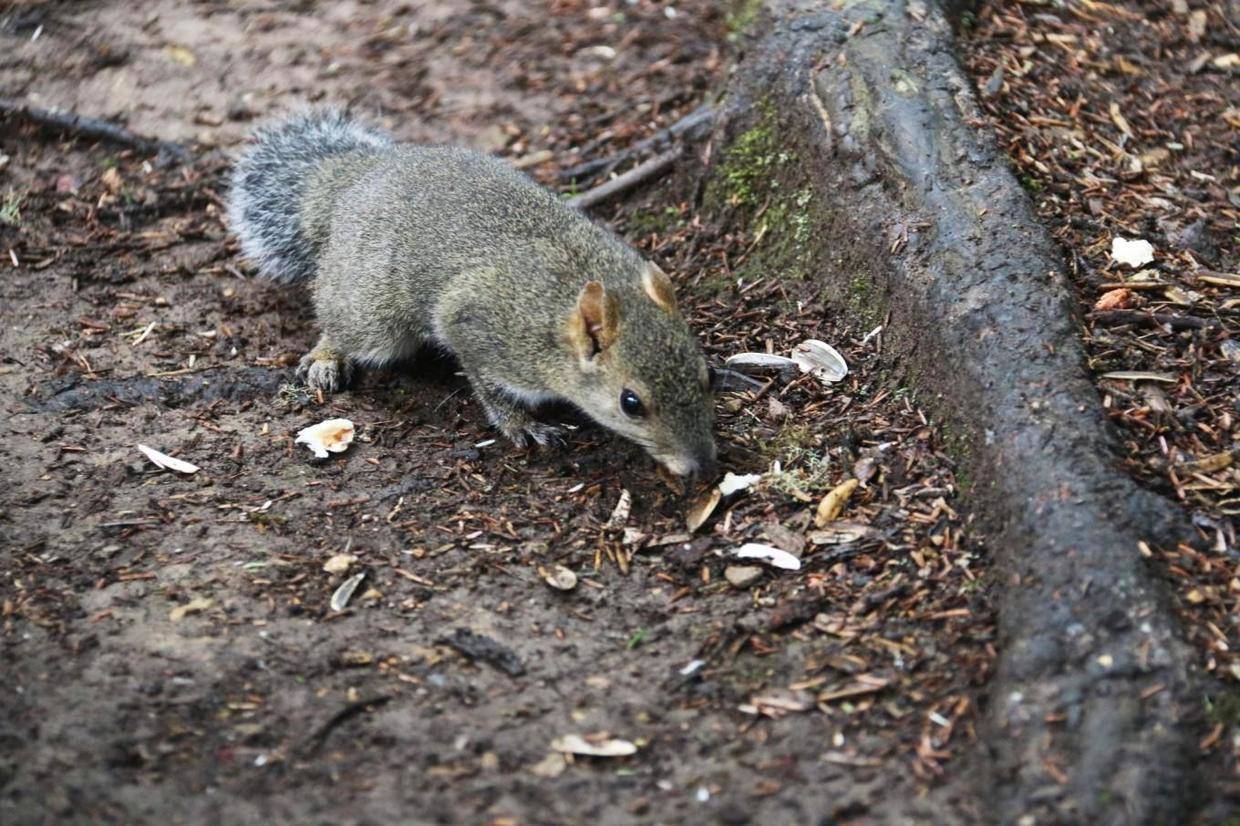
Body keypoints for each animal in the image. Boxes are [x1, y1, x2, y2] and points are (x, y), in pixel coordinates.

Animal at [228, 107, 719, 476]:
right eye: (630, 403)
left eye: (706, 375)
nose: (702, 465)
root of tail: (353, 177)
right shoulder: (477, 326)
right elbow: (489, 386)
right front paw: (521, 425)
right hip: (374, 311)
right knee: (342, 323)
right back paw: (328, 357)